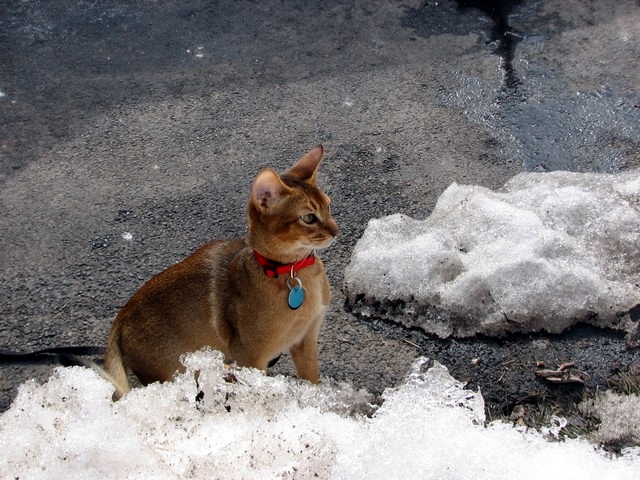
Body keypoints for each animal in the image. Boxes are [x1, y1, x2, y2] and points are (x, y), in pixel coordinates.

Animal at [100, 144, 340, 400]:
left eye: (328, 206)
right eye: (308, 217)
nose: (336, 230)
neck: (292, 272)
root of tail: (121, 319)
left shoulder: (306, 340)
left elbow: (312, 381)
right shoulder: (251, 358)